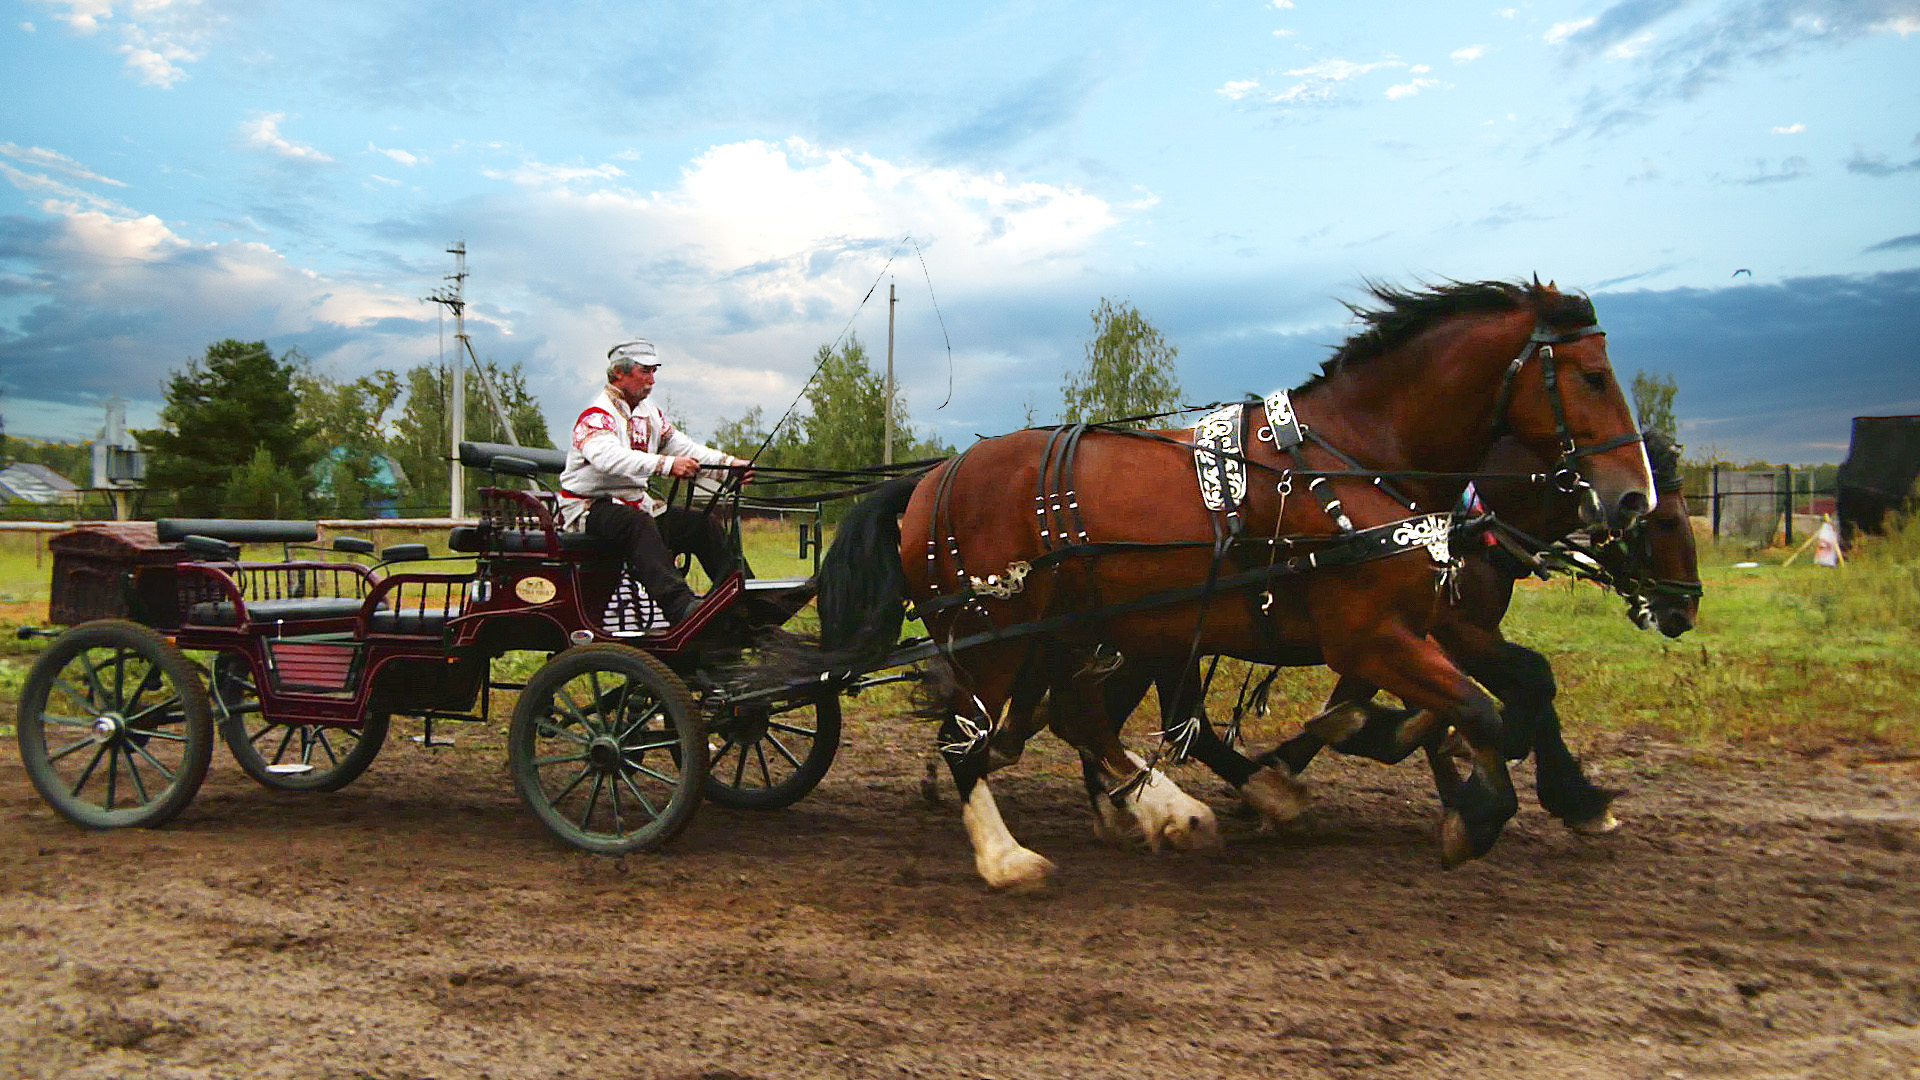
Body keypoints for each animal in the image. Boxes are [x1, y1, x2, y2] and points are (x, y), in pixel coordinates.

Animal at [1076, 427, 1700, 840]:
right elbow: (1509, 690)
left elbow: (1512, 687)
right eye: (1663, 519)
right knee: (1133, 715)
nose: (1683, 610)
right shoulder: (1425, 631)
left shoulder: (1420, 633)